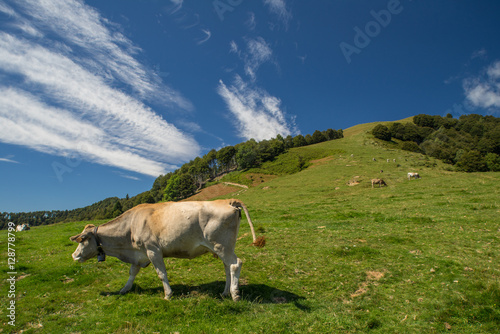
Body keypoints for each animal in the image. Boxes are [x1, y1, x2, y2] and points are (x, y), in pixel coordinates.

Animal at [72, 200, 264, 302]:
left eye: (82, 240)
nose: (74, 255)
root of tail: (227, 201)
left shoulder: (152, 250)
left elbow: (161, 274)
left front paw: (168, 295)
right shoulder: (139, 254)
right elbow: (132, 273)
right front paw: (124, 289)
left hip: (221, 245)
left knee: (235, 264)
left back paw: (235, 294)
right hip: (223, 247)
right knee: (227, 267)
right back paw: (225, 292)